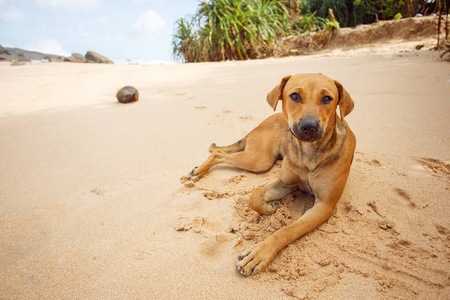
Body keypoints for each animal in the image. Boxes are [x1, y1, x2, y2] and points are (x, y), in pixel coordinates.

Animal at [186, 74, 356, 276]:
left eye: (327, 98)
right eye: (295, 95)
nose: (309, 127)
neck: (308, 153)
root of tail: (260, 124)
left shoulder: (324, 205)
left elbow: (287, 230)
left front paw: (259, 253)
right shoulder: (285, 182)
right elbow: (254, 197)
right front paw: (269, 208)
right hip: (260, 160)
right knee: (219, 153)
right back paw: (199, 171)